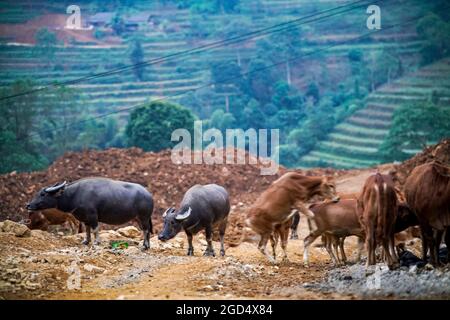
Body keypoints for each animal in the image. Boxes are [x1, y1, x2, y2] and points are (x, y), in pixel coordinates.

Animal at [25, 179, 153, 249]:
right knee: (144, 230)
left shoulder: (93, 216)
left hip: (144, 217)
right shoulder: (85, 218)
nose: (28, 205)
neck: (75, 195)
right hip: (138, 219)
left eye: (43, 194)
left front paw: (96, 242)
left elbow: (95, 229)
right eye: (37, 193)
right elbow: (87, 230)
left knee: (146, 230)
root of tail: (148, 194)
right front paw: (86, 241)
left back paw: (145, 246)